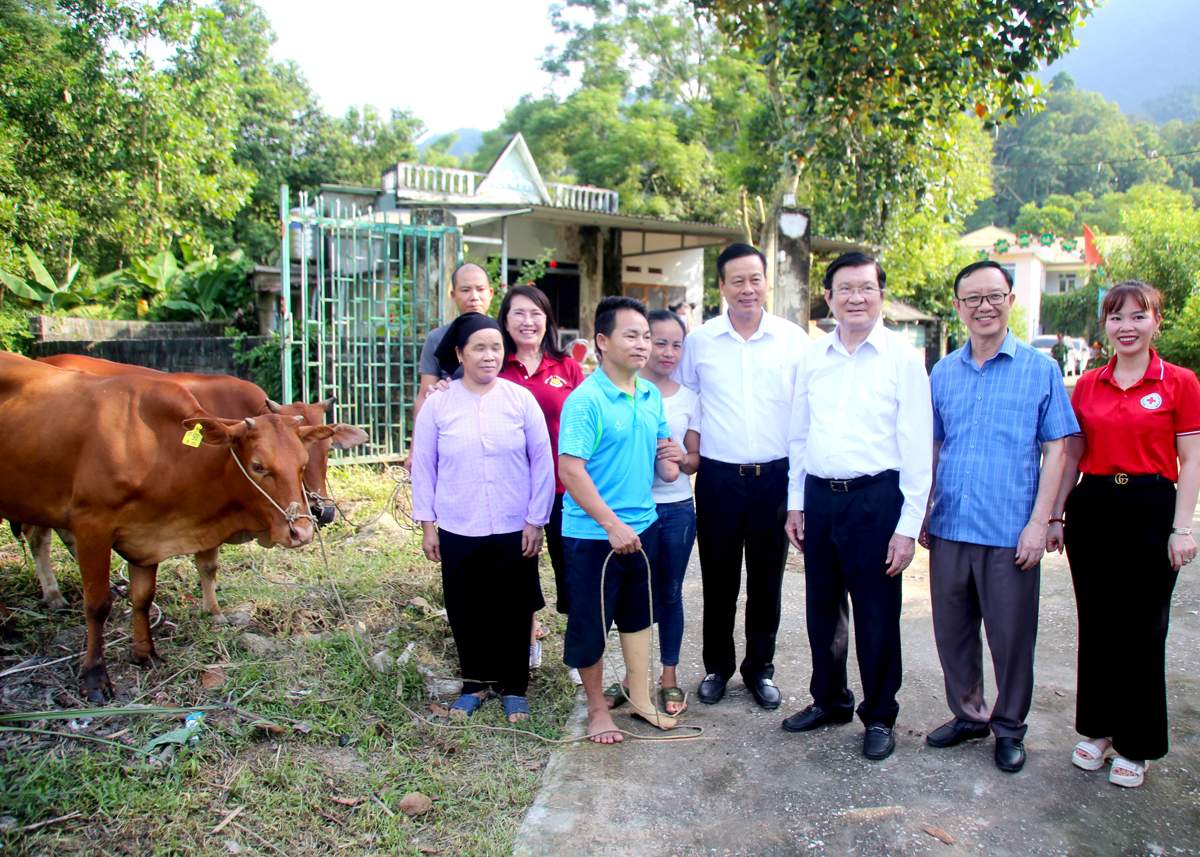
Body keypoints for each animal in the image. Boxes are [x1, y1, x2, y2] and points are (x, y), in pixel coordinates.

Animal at [1, 350, 333, 696]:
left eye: (309, 459)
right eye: (258, 466)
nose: (310, 523)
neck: (158, 447)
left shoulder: (148, 533)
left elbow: (145, 597)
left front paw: (147, 653)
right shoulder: (92, 523)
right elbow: (97, 604)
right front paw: (94, 675)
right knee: (40, 538)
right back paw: (36, 607)